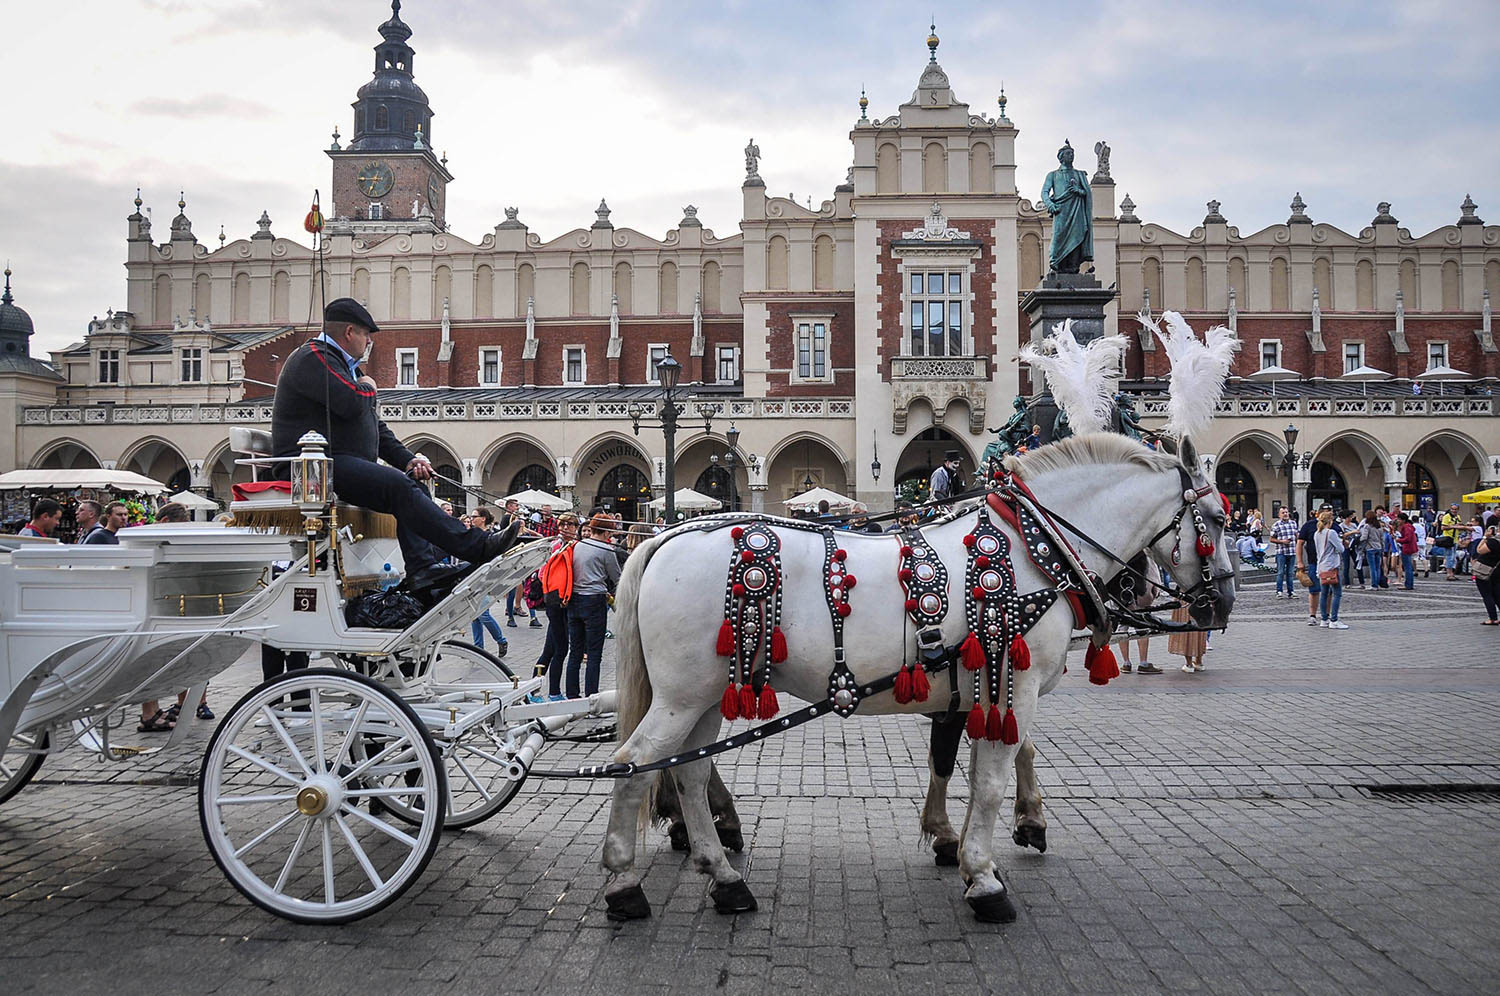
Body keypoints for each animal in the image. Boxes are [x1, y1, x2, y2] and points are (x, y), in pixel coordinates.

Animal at [597, 435, 1230, 924]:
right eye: (1221, 518)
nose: (1220, 601)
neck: (1036, 548)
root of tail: (665, 537)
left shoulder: (979, 692)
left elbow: (974, 766)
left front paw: (981, 844)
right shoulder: (1015, 685)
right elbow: (992, 779)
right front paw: (986, 878)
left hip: (704, 695)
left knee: (688, 772)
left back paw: (725, 878)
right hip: (682, 698)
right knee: (633, 765)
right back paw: (624, 885)